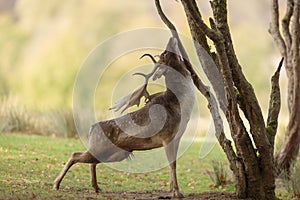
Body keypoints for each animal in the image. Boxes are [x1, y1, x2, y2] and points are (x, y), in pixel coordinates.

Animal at [53, 37, 195, 197]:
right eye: (164, 54)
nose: (172, 38)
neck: (182, 106)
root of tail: (91, 128)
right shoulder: (167, 137)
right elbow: (172, 165)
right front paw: (176, 192)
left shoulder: (176, 138)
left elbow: (174, 164)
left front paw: (171, 190)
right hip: (101, 147)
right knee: (75, 155)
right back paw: (56, 184)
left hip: (115, 153)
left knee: (91, 161)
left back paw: (96, 187)